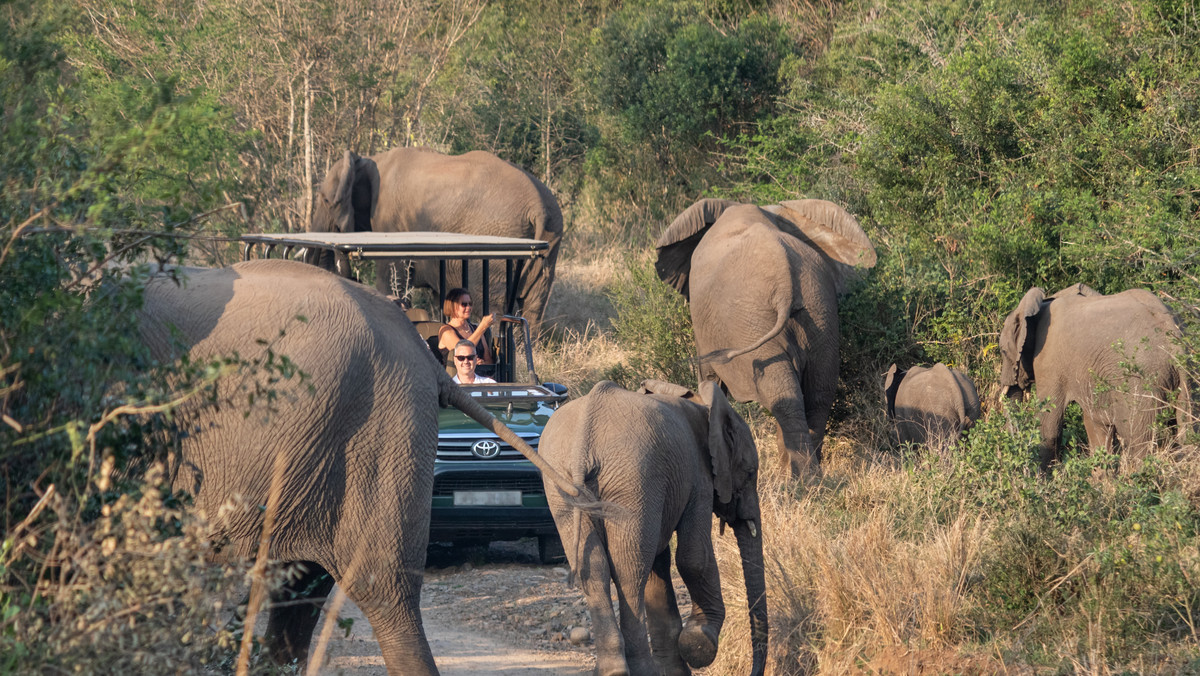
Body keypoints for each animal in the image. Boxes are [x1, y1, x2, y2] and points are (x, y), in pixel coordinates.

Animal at [304, 147, 556, 331]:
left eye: (325, 200)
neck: (368, 159)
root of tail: (538, 206)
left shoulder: (392, 224)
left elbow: (391, 279)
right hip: (551, 243)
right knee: (534, 306)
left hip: (499, 240)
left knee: (495, 305)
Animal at [657, 198, 883, 477]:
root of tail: (786, 280)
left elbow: (709, 378)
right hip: (819, 311)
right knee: (818, 392)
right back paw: (808, 476)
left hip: (751, 321)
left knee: (786, 395)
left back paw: (801, 480)